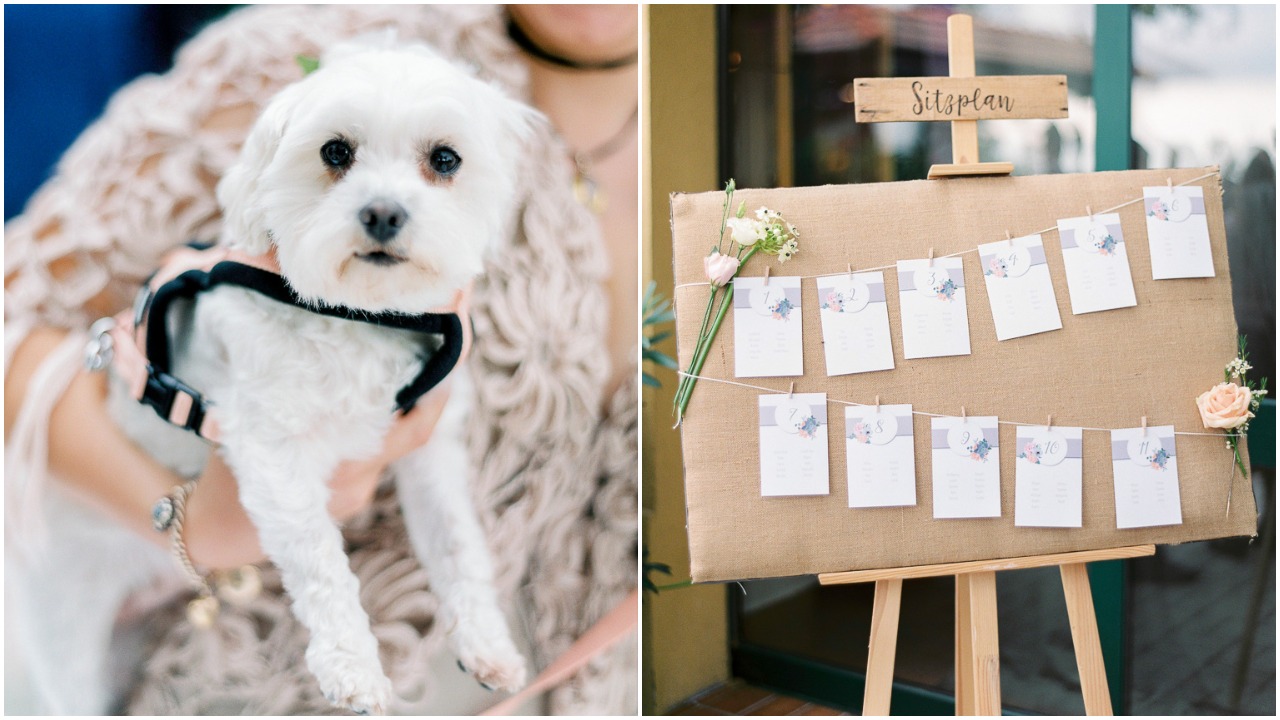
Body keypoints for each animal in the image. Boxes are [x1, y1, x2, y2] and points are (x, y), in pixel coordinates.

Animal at [8, 36, 535, 707]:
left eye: (446, 158)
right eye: (335, 151)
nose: (383, 213)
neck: (357, 315)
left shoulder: (429, 450)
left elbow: (457, 544)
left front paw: (487, 642)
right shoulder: (272, 454)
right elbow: (318, 560)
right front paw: (351, 666)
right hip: (66, 632)